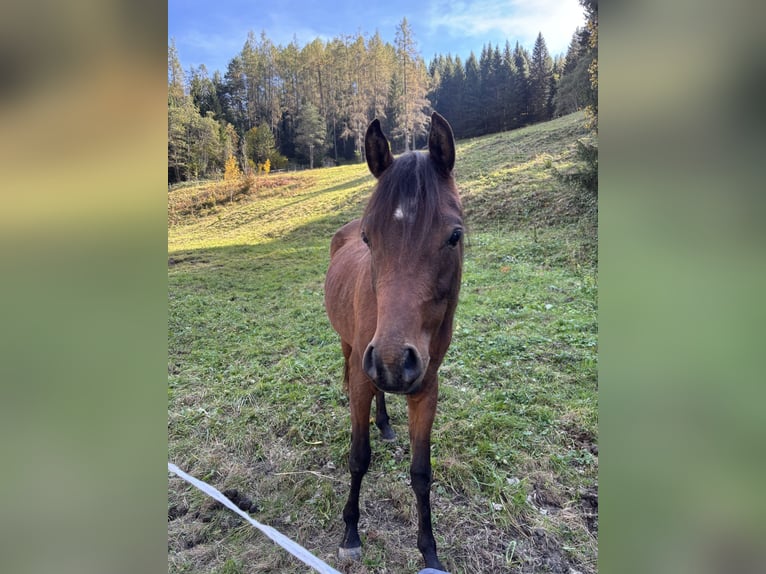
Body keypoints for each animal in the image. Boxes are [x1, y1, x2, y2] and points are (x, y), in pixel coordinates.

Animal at [324, 112, 463, 570]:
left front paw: (430, 551)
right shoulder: (363, 374)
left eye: (454, 236)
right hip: (353, 352)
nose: (392, 361)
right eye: (370, 238)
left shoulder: (426, 388)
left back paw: (384, 422)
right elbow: (358, 457)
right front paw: (350, 532)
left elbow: (421, 473)